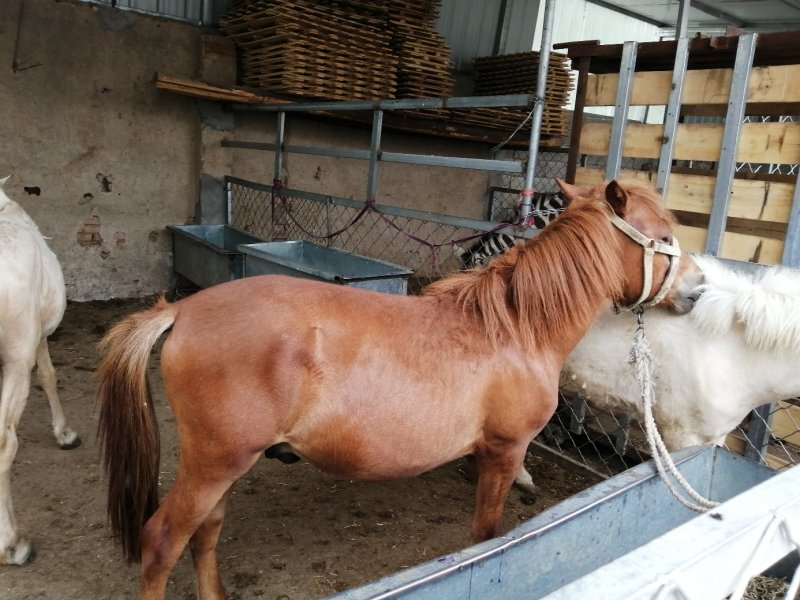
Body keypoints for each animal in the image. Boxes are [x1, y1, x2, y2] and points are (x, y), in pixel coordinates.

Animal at [97, 178, 702, 599]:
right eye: (665, 237)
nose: (698, 289)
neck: (515, 329)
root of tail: (182, 310)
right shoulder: (504, 451)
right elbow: (485, 538)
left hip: (222, 465)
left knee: (205, 535)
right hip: (213, 463)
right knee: (161, 543)